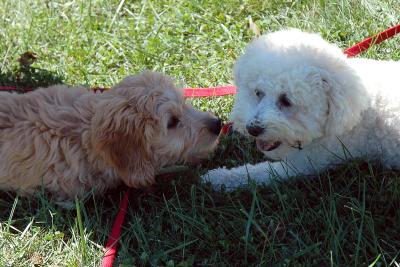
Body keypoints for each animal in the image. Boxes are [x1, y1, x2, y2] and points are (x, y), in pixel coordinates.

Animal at [203, 29, 400, 191]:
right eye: (258, 93)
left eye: (286, 100)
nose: (253, 129)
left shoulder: (304, 163)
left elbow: (256, 174)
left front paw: (218, 179)